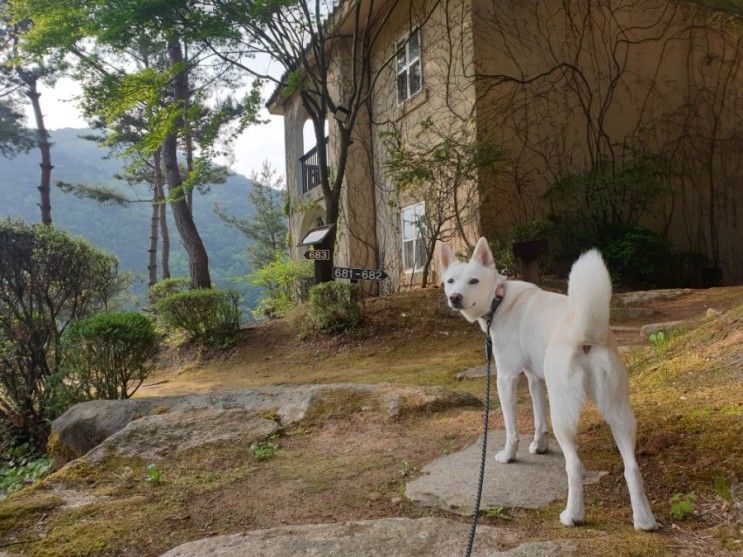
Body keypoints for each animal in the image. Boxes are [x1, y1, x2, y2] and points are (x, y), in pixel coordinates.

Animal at [442, 238, 656, 528]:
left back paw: (572, 515)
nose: (454, 297)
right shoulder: (535, 378)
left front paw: (509, 456)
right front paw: (539, 446)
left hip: (563, 415)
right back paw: (644, 520)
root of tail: (585, 335)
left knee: (574, 465)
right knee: (632, 467)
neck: (499, 297)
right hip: (618, 412)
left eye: (473, 281)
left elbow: (511, 429)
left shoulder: (506, 378)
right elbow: (538, 419)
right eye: (451, 281)